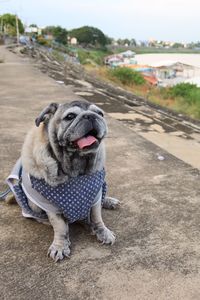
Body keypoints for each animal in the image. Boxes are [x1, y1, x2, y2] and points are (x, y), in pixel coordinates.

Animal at [8, 99, 119, 262]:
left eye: (100, 113)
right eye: (70, 116)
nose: (90, 116)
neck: (77, 165)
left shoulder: (95, 195)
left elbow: (97, 216)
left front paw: (102, 231)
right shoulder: (50, 206)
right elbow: (60, 226)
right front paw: (60, 245)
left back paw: (109, 202)